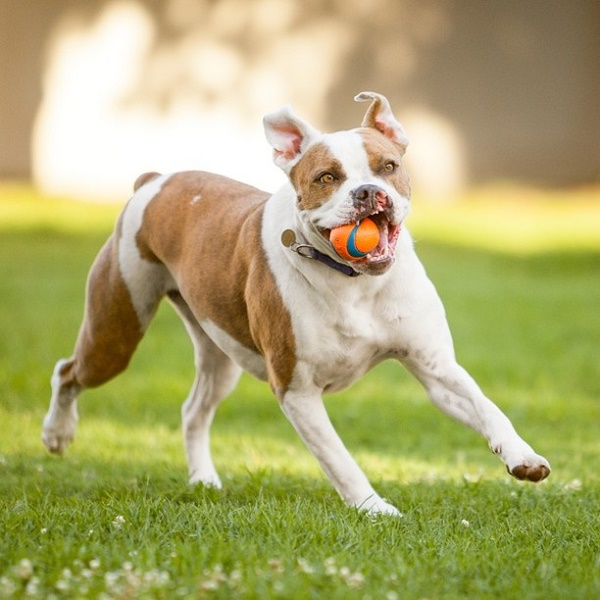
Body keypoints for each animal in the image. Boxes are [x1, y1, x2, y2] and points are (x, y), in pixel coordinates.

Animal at [42, 92, 550, 515]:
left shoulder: (436, 369)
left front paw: (522, 456)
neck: (354, 283)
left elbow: (487, 407)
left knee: (193, 410)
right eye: (328, 177)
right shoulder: (297, 390)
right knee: (67, 371)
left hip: (218, 355)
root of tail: (155, 181)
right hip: (115, 333)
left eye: (387, 167)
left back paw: (204, 479)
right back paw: (56, 433)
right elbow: (340, 458)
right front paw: (373, 508)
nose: (369, 193)